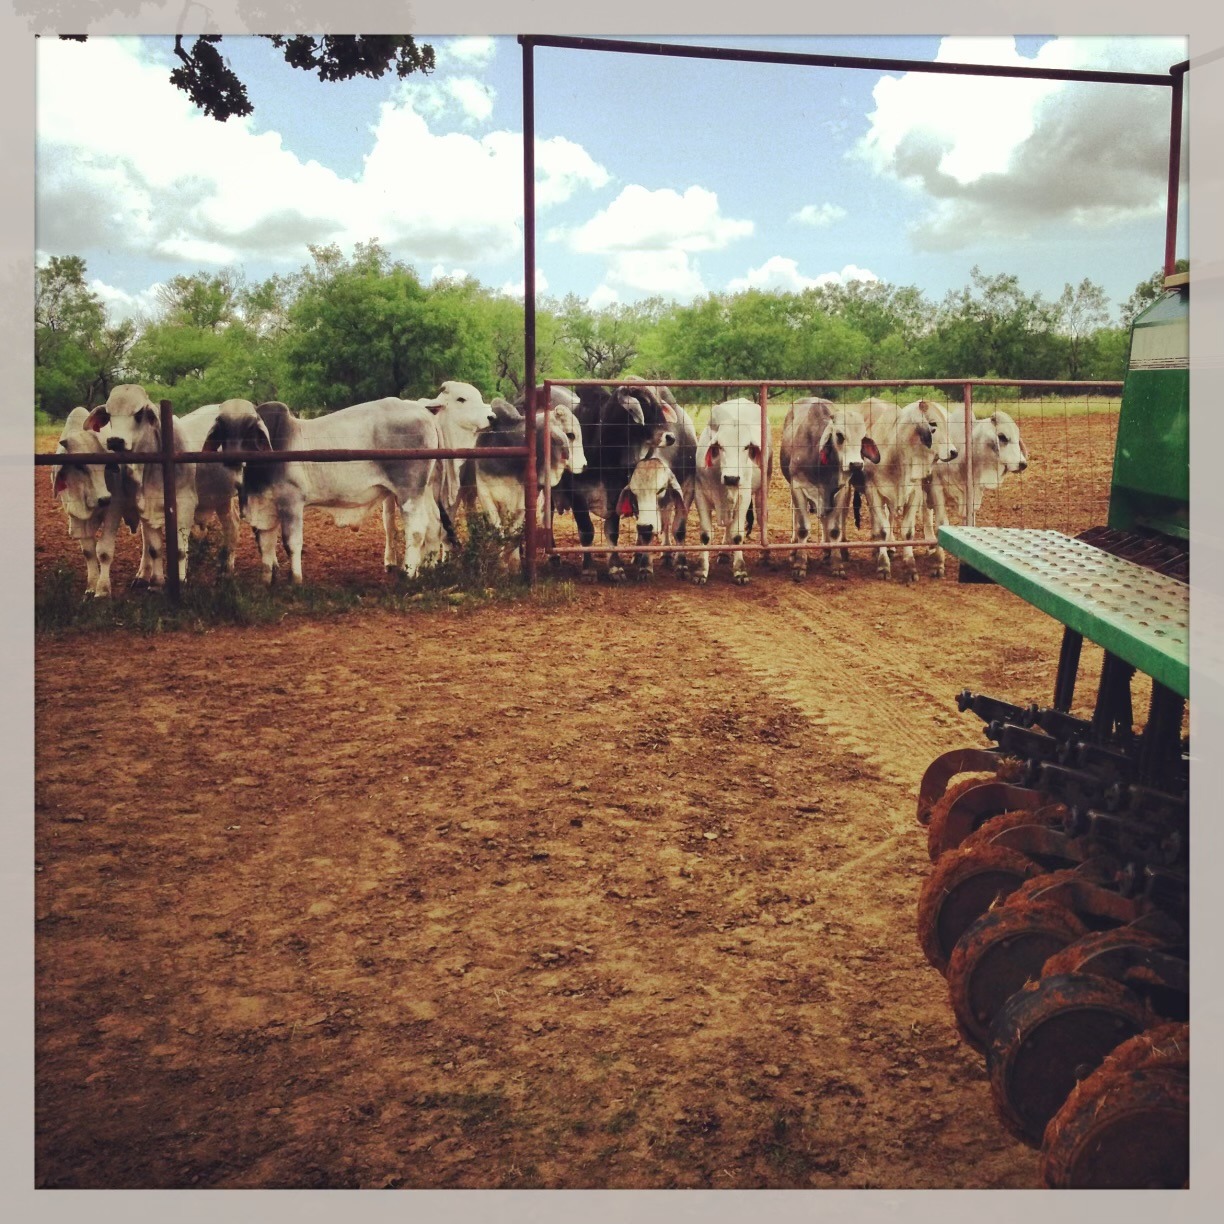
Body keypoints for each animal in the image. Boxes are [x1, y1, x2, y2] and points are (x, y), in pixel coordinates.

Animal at [49, 407, 139, 598]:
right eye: (80, 466)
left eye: (105, 465)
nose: (104, 498)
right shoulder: (76, 517)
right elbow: (88, 551)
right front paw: (91, 587)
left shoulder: (113, 511)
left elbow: (103, 551)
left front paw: (102, 590)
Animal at [692, 398, 772, 586]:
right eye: (719, 446)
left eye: (746, 447)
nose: (731, 478)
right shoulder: (700, 495)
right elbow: (705, 535)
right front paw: (701, 571)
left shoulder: (743, 497)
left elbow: (737, 534)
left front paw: (740, 570)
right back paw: (723, 553)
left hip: (761, 489)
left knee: (761, 518)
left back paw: (765, 556)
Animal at [780, 398, 880, 581]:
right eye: (839, 435)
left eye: (862, 437)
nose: (856, 464)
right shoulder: (797, 487)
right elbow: (803, 528)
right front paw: (800, 564)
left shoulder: (840, 490)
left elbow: (834, 529)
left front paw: (837, 564)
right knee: (796, 517)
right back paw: (794, 548)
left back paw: (827, 551)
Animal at [851, 398, 958, 583]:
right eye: (933, 424)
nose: (953, 452)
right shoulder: (873, 492)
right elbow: (882, 529)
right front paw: (883, 566)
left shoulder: (914, 493)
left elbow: (907, 532)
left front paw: (910, 567)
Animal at [922, 410, 1029, 575]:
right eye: (1002, 437)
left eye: (1017, 436)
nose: (1023, 464)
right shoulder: (936, 486)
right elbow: (940, 523)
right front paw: (939, 564)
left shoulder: (973, 492)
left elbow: (969, 523)